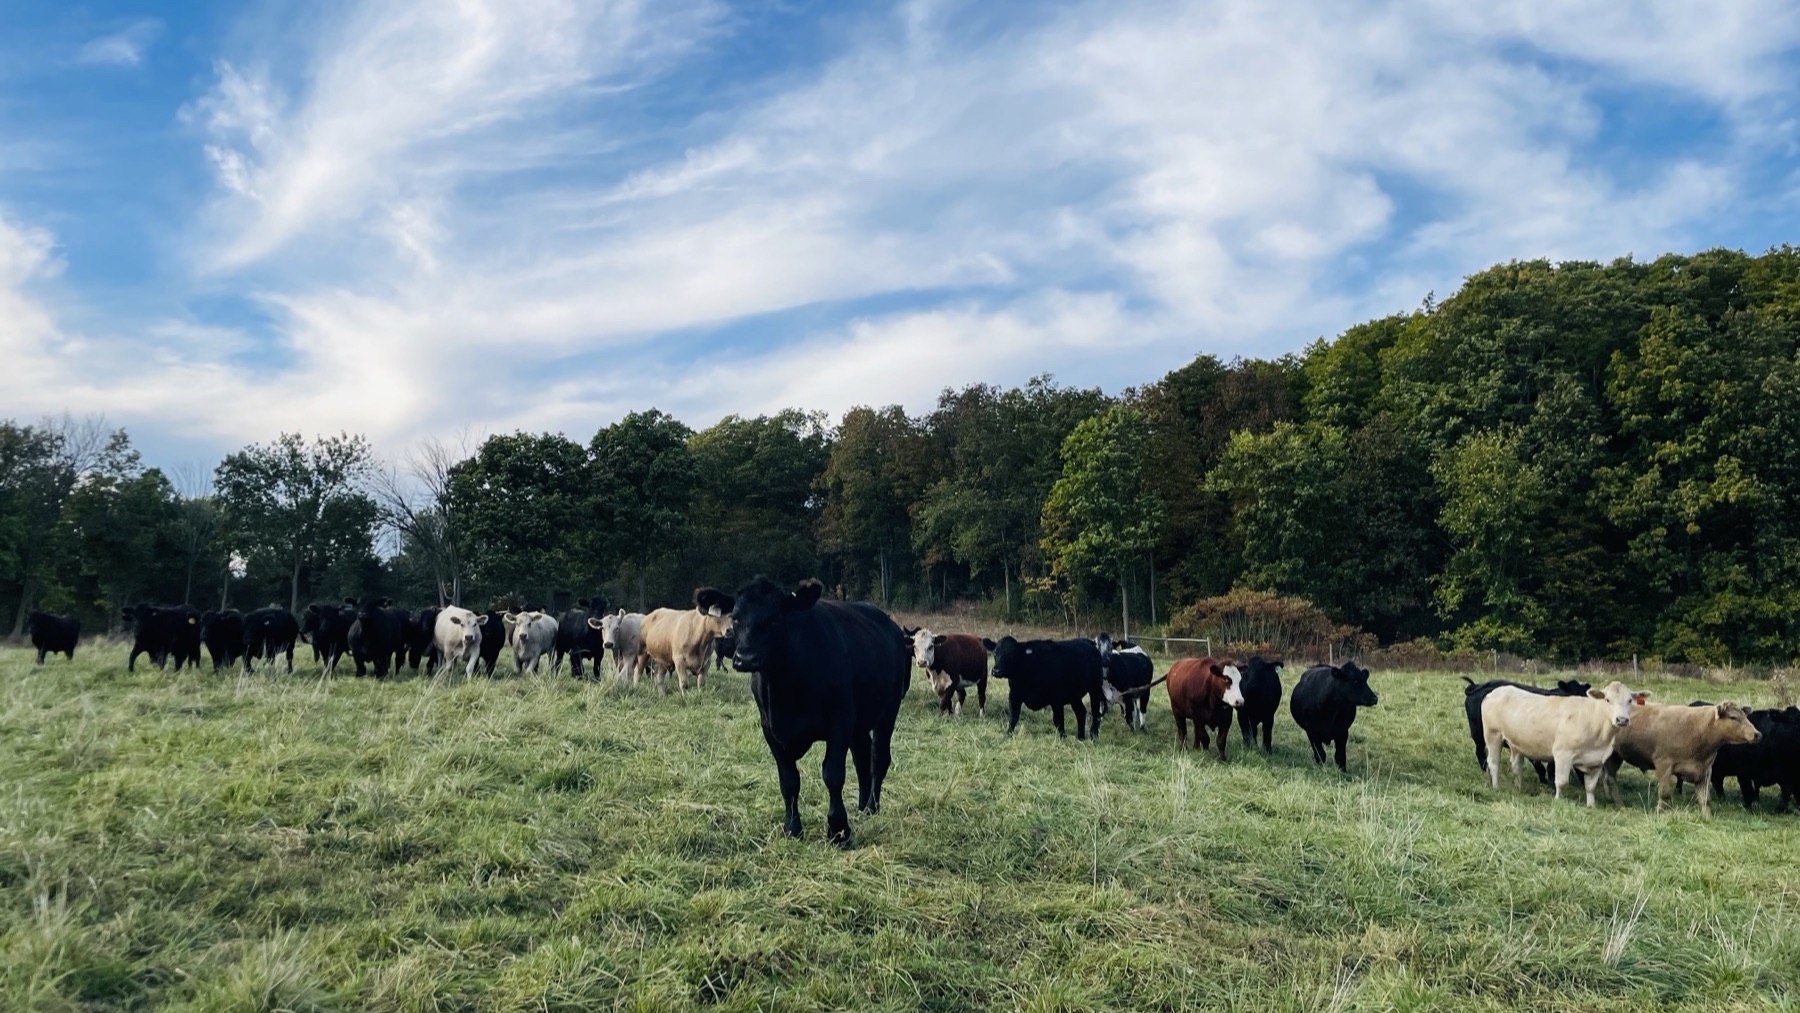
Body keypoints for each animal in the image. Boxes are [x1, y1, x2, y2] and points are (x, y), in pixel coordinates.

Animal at [727, 576, 909, 846]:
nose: (745, 658)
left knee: (878, 758)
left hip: (888, 711)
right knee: (862, 756)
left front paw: (838, 830)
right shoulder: (769, 728)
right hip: (859, 723)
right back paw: (862, 805)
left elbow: (832, 774)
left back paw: (871, 807)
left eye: (775, 619)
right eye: (735, 618)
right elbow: (789, 781)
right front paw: (792, 828)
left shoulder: (840, 722)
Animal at [1480, 680, 1645, 807]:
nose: (1622, 719)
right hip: (1493, 735)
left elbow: (1590, 787)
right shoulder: (1562, 754)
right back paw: (1496, 787)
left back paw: (1519, 787)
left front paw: (1591, 805)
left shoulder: (1596, 761)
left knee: (1516, 766)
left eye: (1630, 700)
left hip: (1516, 743)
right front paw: (1558, 800)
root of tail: (1497, 690)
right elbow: (1561, 782)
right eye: (1608, 700)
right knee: (1493, 763)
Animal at [1603, 701, 1762, 816]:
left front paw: (1707, 818)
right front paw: (1659, 813)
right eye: (1733, 717)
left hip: (1615, 757)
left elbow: (1705, 799)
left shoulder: (1705, 770)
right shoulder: (1663, 764)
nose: (1757, 734)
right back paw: (1620, 804)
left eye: (1746, 717)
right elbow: (1665, 794)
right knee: (1611, 780)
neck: (1697, 729)